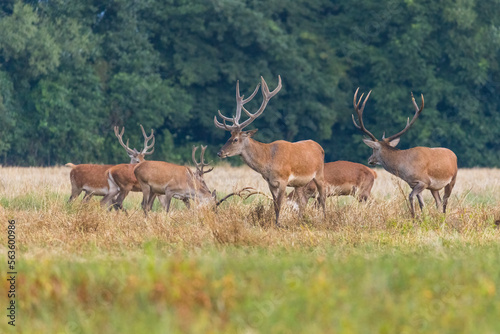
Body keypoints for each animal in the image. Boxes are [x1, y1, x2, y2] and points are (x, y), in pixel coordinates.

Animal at [215, 76, 328, 227]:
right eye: (229, 137)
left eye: (235, 139)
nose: (220, 152)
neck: (268, 161)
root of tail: (319, 146)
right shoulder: (270, 182)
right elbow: (274, 204)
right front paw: (275, 223)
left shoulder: (283, 179)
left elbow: (280, 204)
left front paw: (278, 224)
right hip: (299, 183)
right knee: (303, 201)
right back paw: (300, 220)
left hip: (319, 174)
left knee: (322, 197)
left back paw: (325, 219)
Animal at [352, 88, 458, 217]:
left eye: (374, 149)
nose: (369, 160)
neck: (404, 168)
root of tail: (453, 154)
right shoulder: (413, 184)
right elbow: (421, 204)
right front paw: (421, 217)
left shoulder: (424, 181)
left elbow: (411, 196)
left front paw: (413, 216)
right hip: (434, 187)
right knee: (438, 202)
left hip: (452, 179)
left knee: (444, 201)